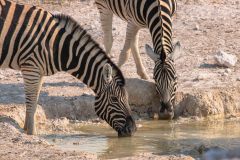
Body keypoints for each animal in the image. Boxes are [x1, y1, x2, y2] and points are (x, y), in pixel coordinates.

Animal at [0, 0, 136, 137]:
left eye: (127, 98)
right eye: (114, 99)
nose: (132, 129)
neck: (57, 46)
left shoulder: (39, 71)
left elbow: (34, 101)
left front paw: (27, 129)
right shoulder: (31, 67)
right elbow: (31, 102)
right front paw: (32, 134)